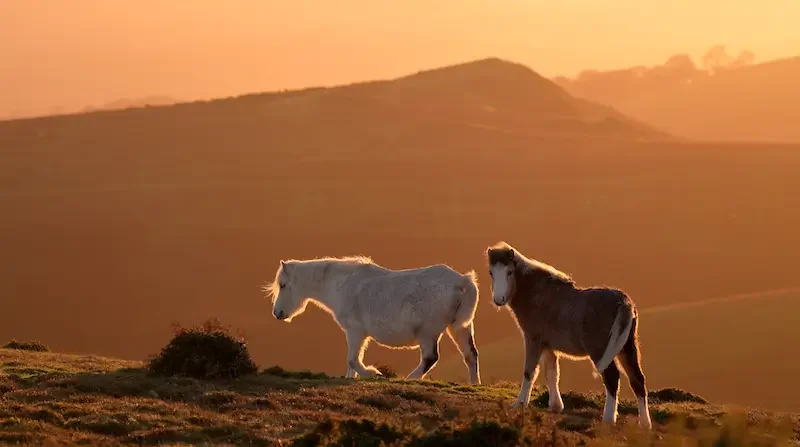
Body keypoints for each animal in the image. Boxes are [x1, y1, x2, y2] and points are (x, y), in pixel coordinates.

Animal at [264, 255, 482, 385]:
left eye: (283, 285)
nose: (277, 313)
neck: (342, 284)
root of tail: (463, 281)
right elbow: (350, 364)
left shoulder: (355, 332)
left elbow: (353, 360)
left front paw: (374, 373)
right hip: (459, 328)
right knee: (470, 355)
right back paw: (474, 384)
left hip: (428, 332)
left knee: (430, 357)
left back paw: (410, 378)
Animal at [486, 242, 652, 430]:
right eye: (491, 272)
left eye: (509, 272)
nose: (499, 299)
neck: (535, 292)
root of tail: (624, 303)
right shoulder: (548, 345)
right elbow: (552, 373)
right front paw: (556, 406)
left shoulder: (533, 339)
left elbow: (530, 371)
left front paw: (520, 403)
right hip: (627, 348)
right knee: (637, 379)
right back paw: (645, 423)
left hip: (601, 350)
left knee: (612, 377)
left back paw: (609, 418)